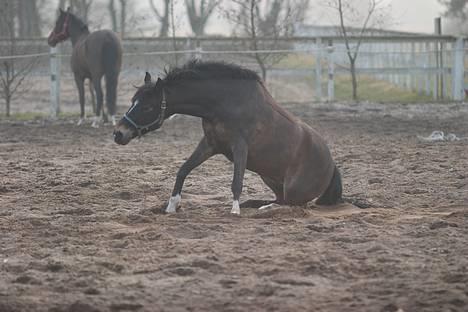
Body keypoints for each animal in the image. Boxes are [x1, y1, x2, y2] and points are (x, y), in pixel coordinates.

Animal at [112, 60, 342, 214]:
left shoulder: (240, 147)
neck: (224, 102)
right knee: (281, 199)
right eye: (133, 101)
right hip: (269, 177)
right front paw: (171, 206)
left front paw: (234, 211)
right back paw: (257, 205)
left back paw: (265, 208)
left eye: (148, 107)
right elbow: (182, 170)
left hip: (294, 189)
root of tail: (331, 165)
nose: (118, 133)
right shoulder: (210, 144)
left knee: (294, 204)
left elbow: (236, 182)